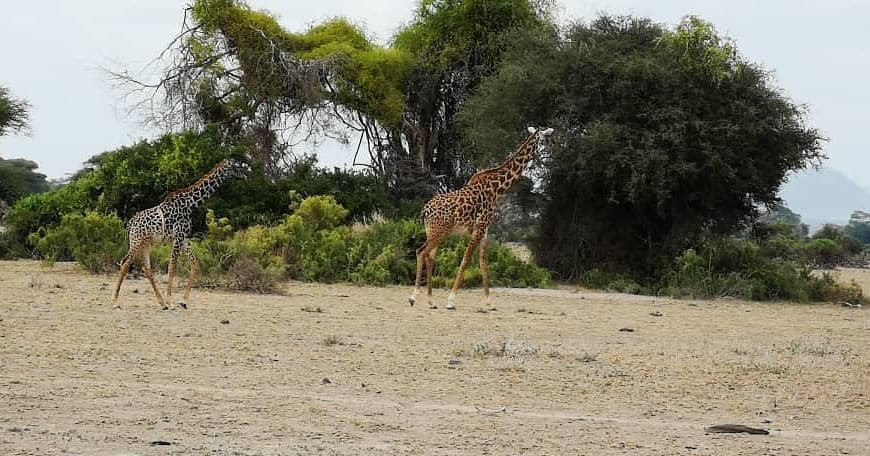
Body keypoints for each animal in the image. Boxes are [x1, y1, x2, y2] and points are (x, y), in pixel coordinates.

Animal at [111, 158, 249, 310]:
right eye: (236, 166)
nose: (246, 174)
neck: (190, 204)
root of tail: (130, 224)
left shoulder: (184, 238)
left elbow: (195, 263)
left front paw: (183, 301)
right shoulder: (178, 237)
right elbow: (172, 267)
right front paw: (171, 301)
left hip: (146, 244)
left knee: (146, 268)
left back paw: (161, 303)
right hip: (136, 241)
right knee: (125, 263)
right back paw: (115, 301)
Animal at [410, 126, 560, 308]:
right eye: (547, 140)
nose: (555, 151)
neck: (497, 188)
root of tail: (425, 210)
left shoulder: (485, 230)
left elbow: (483, 263)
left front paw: (489, 302)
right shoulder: (479, 227)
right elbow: (466, 260)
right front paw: (451, 301)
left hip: (432, 231)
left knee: (429, 257)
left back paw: (431, 301)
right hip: (439, 232)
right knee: (421, 252)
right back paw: (413, 297)